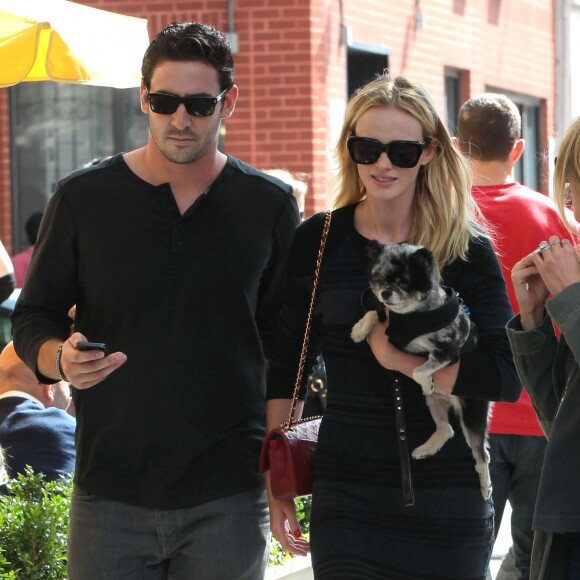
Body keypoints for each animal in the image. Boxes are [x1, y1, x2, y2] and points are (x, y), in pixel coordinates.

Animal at [352, 240, 492, 498]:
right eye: (380, 280)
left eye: (403, 283)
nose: (385, 293)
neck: (410, 318)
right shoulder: (392, 327)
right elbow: (374, 312)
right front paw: (359, 329)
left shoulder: (447, 352)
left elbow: (419, 370)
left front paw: (426, 381)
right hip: (434, 404)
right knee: (447, 429)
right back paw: (425, 449)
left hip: (471, 414)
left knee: (481, 454)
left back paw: (485, 485)